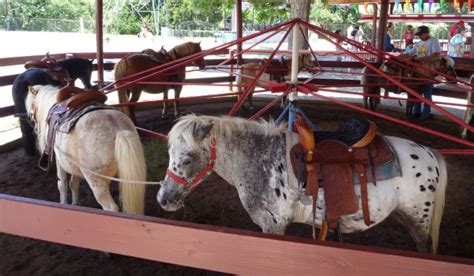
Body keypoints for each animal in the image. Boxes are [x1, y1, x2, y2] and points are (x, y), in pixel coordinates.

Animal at [25, 85, 146, 215]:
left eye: (31, 109)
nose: (34, 126)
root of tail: (119, 130)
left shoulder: (59, 159)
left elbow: (62, 183)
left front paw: (64, 203)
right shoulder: (73, 163)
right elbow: (74, 183)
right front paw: (75, 204)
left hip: (96, 182)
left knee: (110, 207)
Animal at [158, 113, 448, 253]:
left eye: (187, 158)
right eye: (169, 153)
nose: (164, 199)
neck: (261, 159)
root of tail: (431, 154)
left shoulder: (273, 226)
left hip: (419, 220)